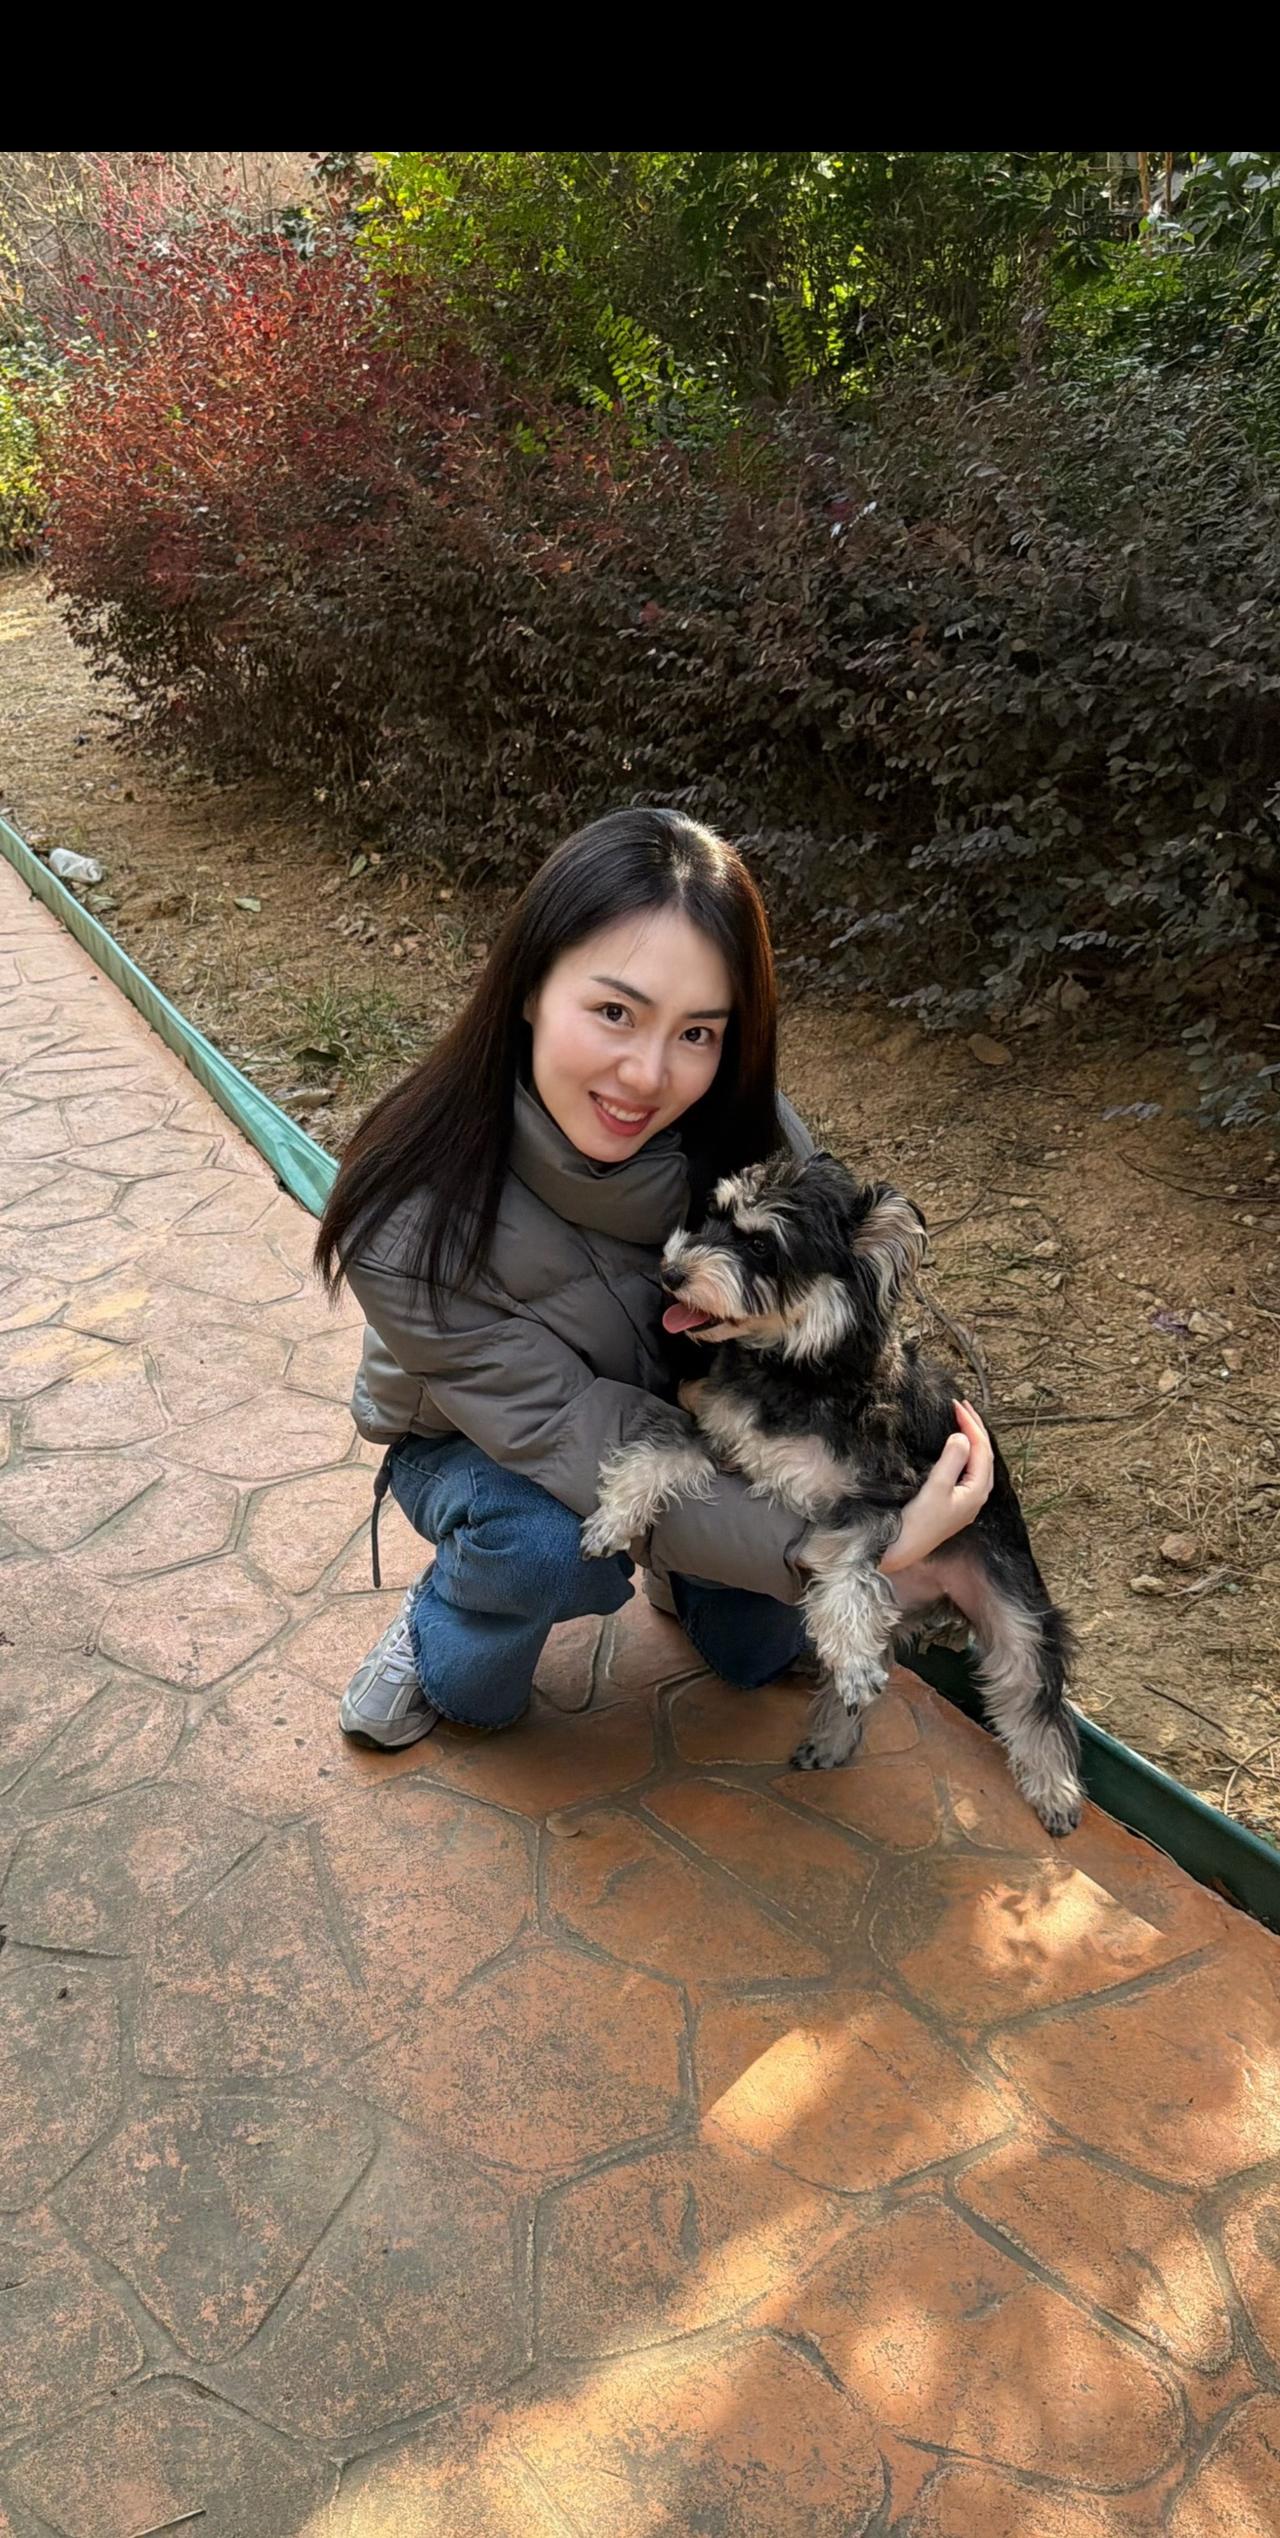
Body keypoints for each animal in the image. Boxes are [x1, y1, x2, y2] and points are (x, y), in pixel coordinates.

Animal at [582, 1149, 1084, 1838]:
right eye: (714, 1214)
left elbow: (844, 1571)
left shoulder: (880, 1500)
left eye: (761, 1245)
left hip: (1017, 1618)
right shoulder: (714, 1438)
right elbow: (651, 1456)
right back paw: (833, 1737)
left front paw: (852, 1662)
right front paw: (611, 1520)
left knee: (1034, 1700)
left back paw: (1055, 1790)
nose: (670, 1272)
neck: (799, 1368)